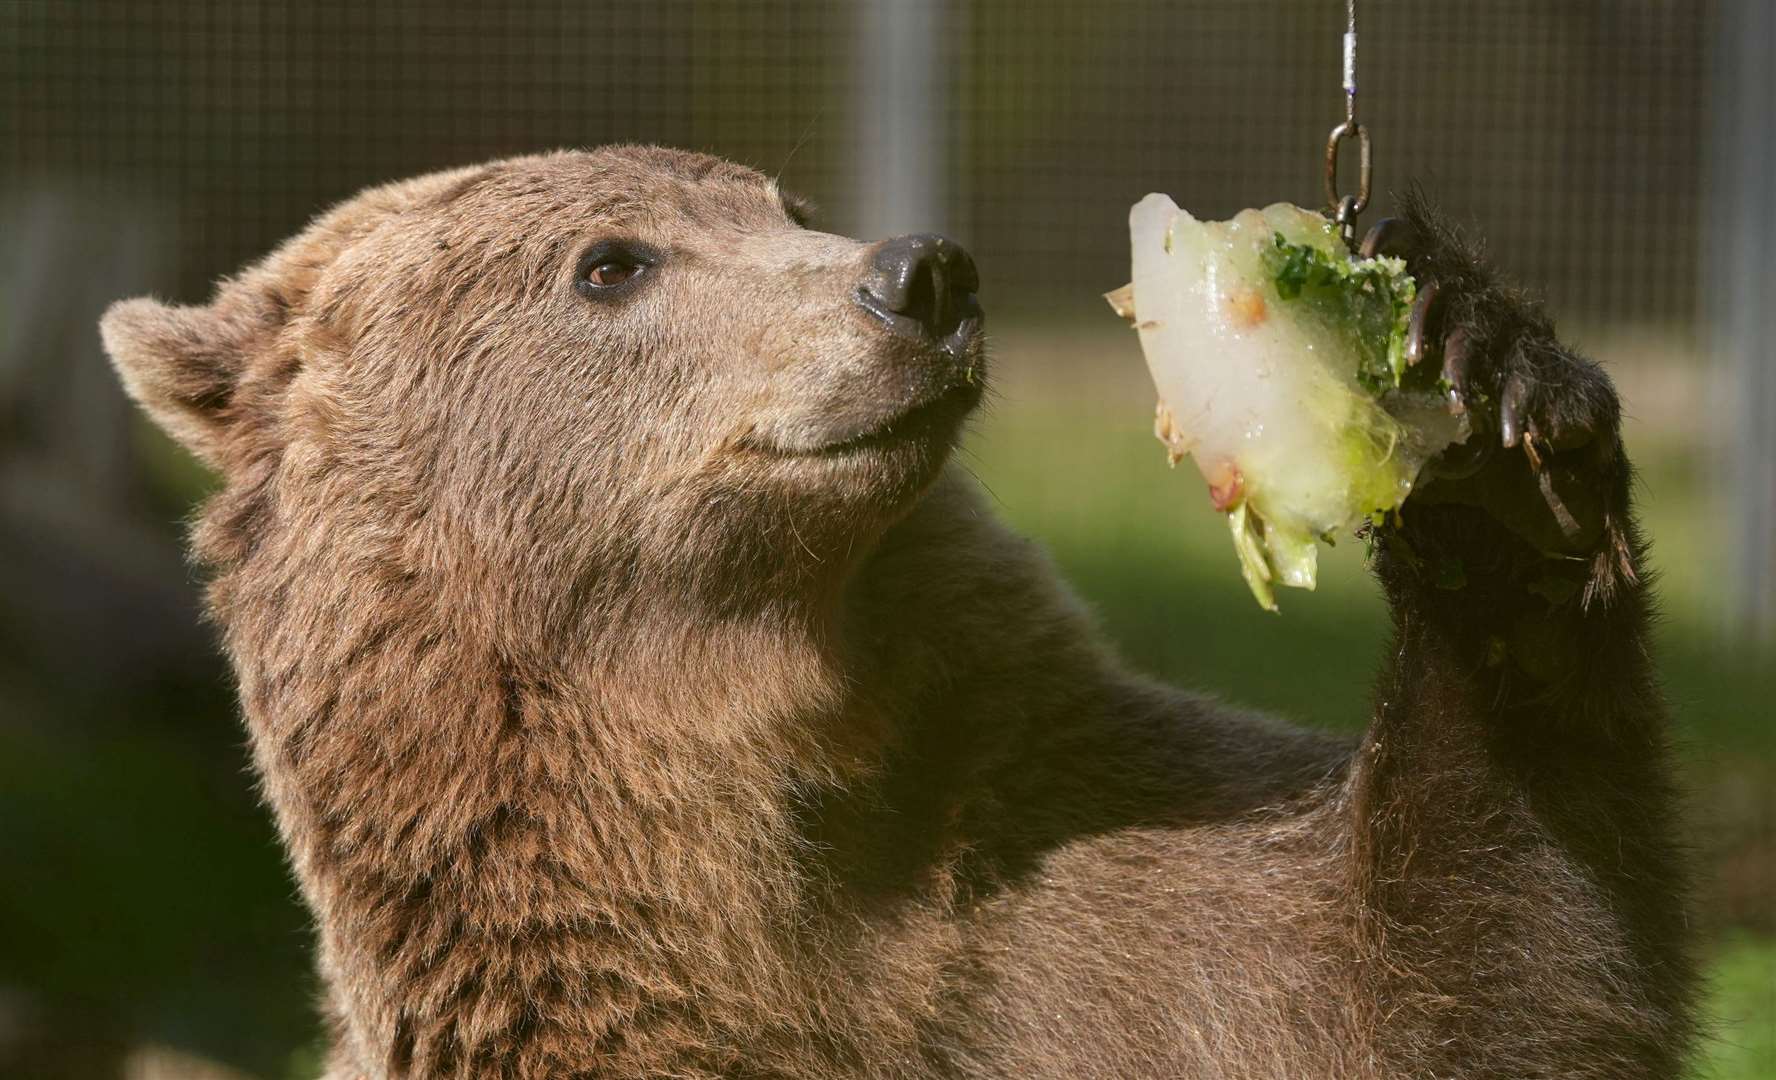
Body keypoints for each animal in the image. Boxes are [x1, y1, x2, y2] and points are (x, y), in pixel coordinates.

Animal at [100, 145, 1690, 1080]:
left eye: (790, 208)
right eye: (611, 261)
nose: (918, 274)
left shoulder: (1075, 893)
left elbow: (1452, 986)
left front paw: (1486, 403)